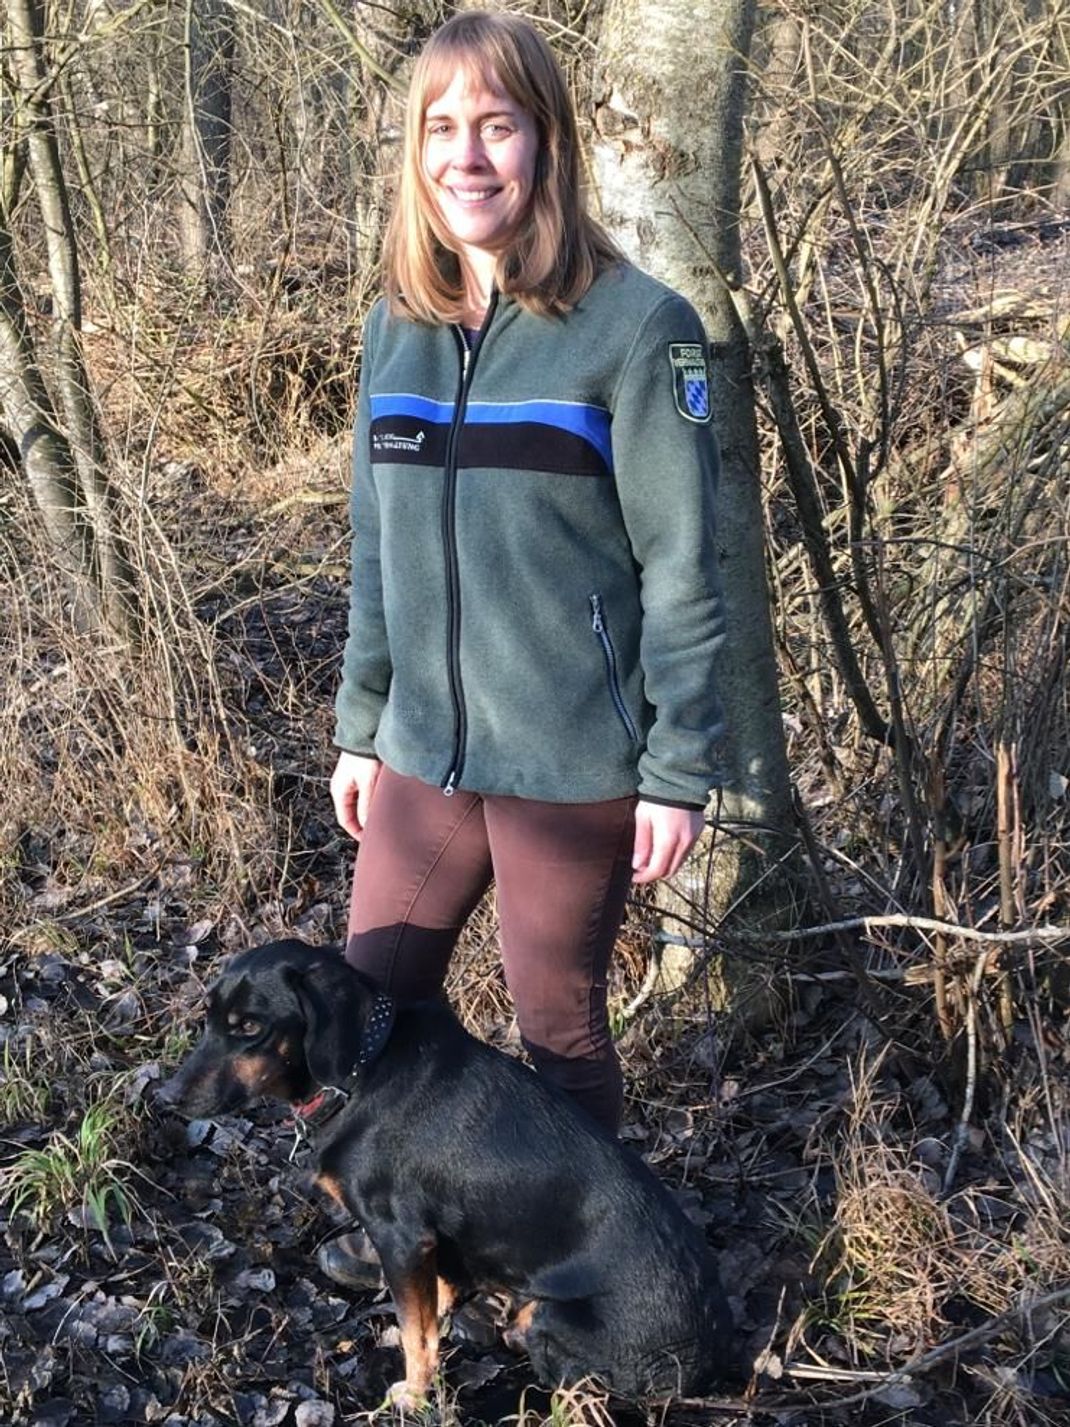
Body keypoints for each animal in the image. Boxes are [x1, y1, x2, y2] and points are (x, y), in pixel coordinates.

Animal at [161, 941, 736, 1398]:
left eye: (250, 1027)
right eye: (208, 1018)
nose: (168, 1096)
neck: (362, 1071)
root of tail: (706, 1364)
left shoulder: (400, 1236)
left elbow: (416, 1334)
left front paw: (414, 1396)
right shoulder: (429, 1247)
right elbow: (429, 1309)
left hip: (550, 1315)